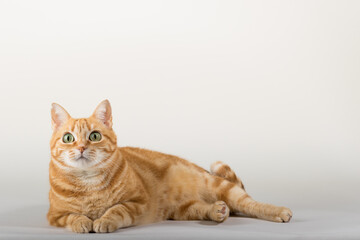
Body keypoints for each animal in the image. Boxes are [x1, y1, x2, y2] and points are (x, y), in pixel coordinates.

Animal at [47, 99, 292, 232]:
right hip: (181, 210)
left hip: (220, 187)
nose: (81, 148)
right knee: (205, 209)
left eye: (95, 136)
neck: (88, 183)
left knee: (250, 203)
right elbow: (73, 217)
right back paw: (218, 211)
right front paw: (83, 223)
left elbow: (116, 209)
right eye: (68, 138)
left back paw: (280, 211)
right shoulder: (55, 216)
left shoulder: (138, 203)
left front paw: (103, 221)